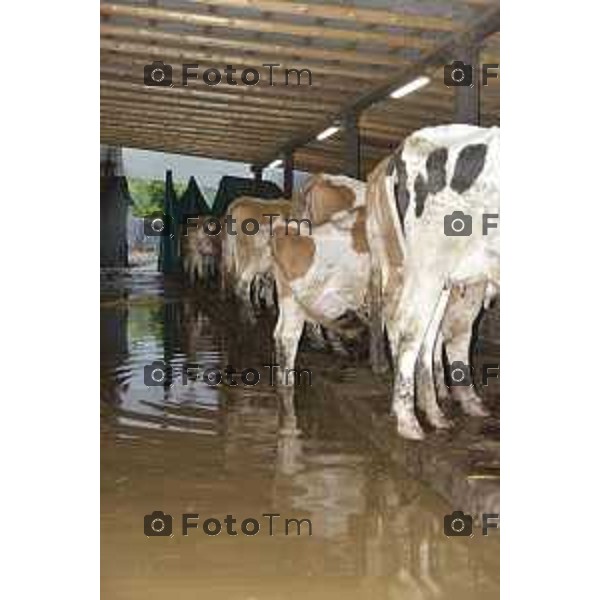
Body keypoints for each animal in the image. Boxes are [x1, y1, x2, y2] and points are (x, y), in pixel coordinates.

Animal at [368, 123, 500, 440]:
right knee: (415, 329)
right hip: (430, 267)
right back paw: (409, 420)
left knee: (427, 333)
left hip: (441, 276)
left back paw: (434, 412)